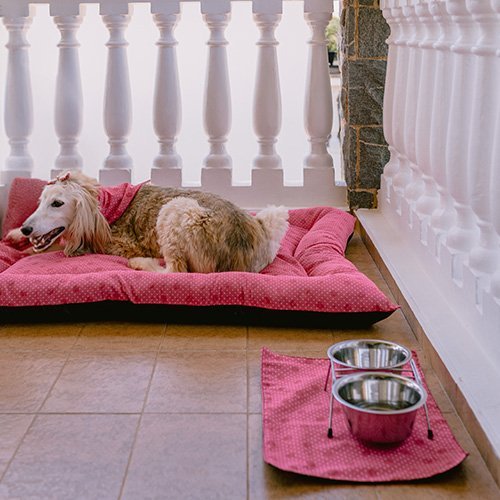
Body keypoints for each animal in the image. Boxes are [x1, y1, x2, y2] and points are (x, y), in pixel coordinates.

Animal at [6, 171, 289, 273]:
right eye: (41, 201)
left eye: (58, 204)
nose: (27, 228)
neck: (103, 204)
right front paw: (16, 234)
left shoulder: (114, 244)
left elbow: (66, 243)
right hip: (272, 217)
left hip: (176, 211)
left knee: (175, 272)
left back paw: (141, 264)